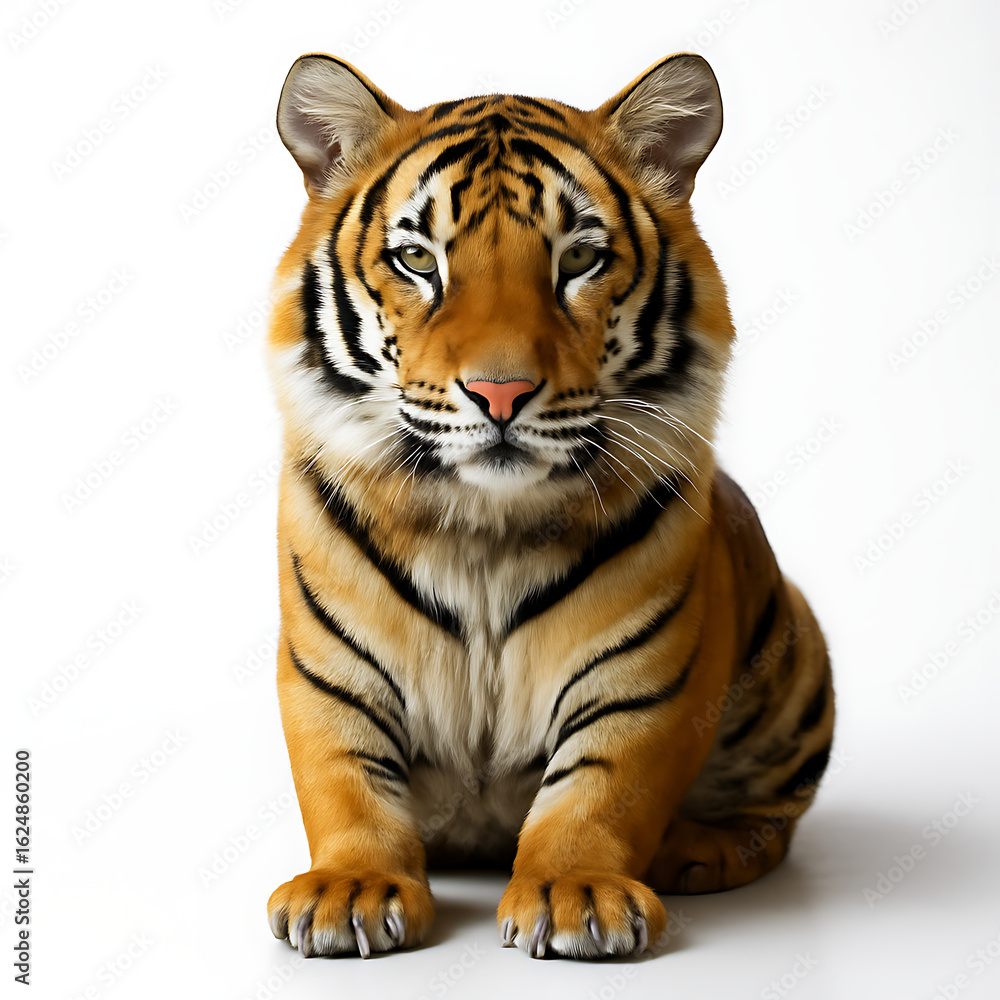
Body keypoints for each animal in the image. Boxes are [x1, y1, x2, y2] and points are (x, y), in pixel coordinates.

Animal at [264, 50, 834, 961]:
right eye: (419, 260)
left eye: (580, 260)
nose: (500, 392)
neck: (482, 530)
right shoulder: (327, 667)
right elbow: (343, 776)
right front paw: (349, 889)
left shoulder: (645, 677)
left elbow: (603, 786)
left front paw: (577, 895)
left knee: (776, 813)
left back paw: (698, 849)